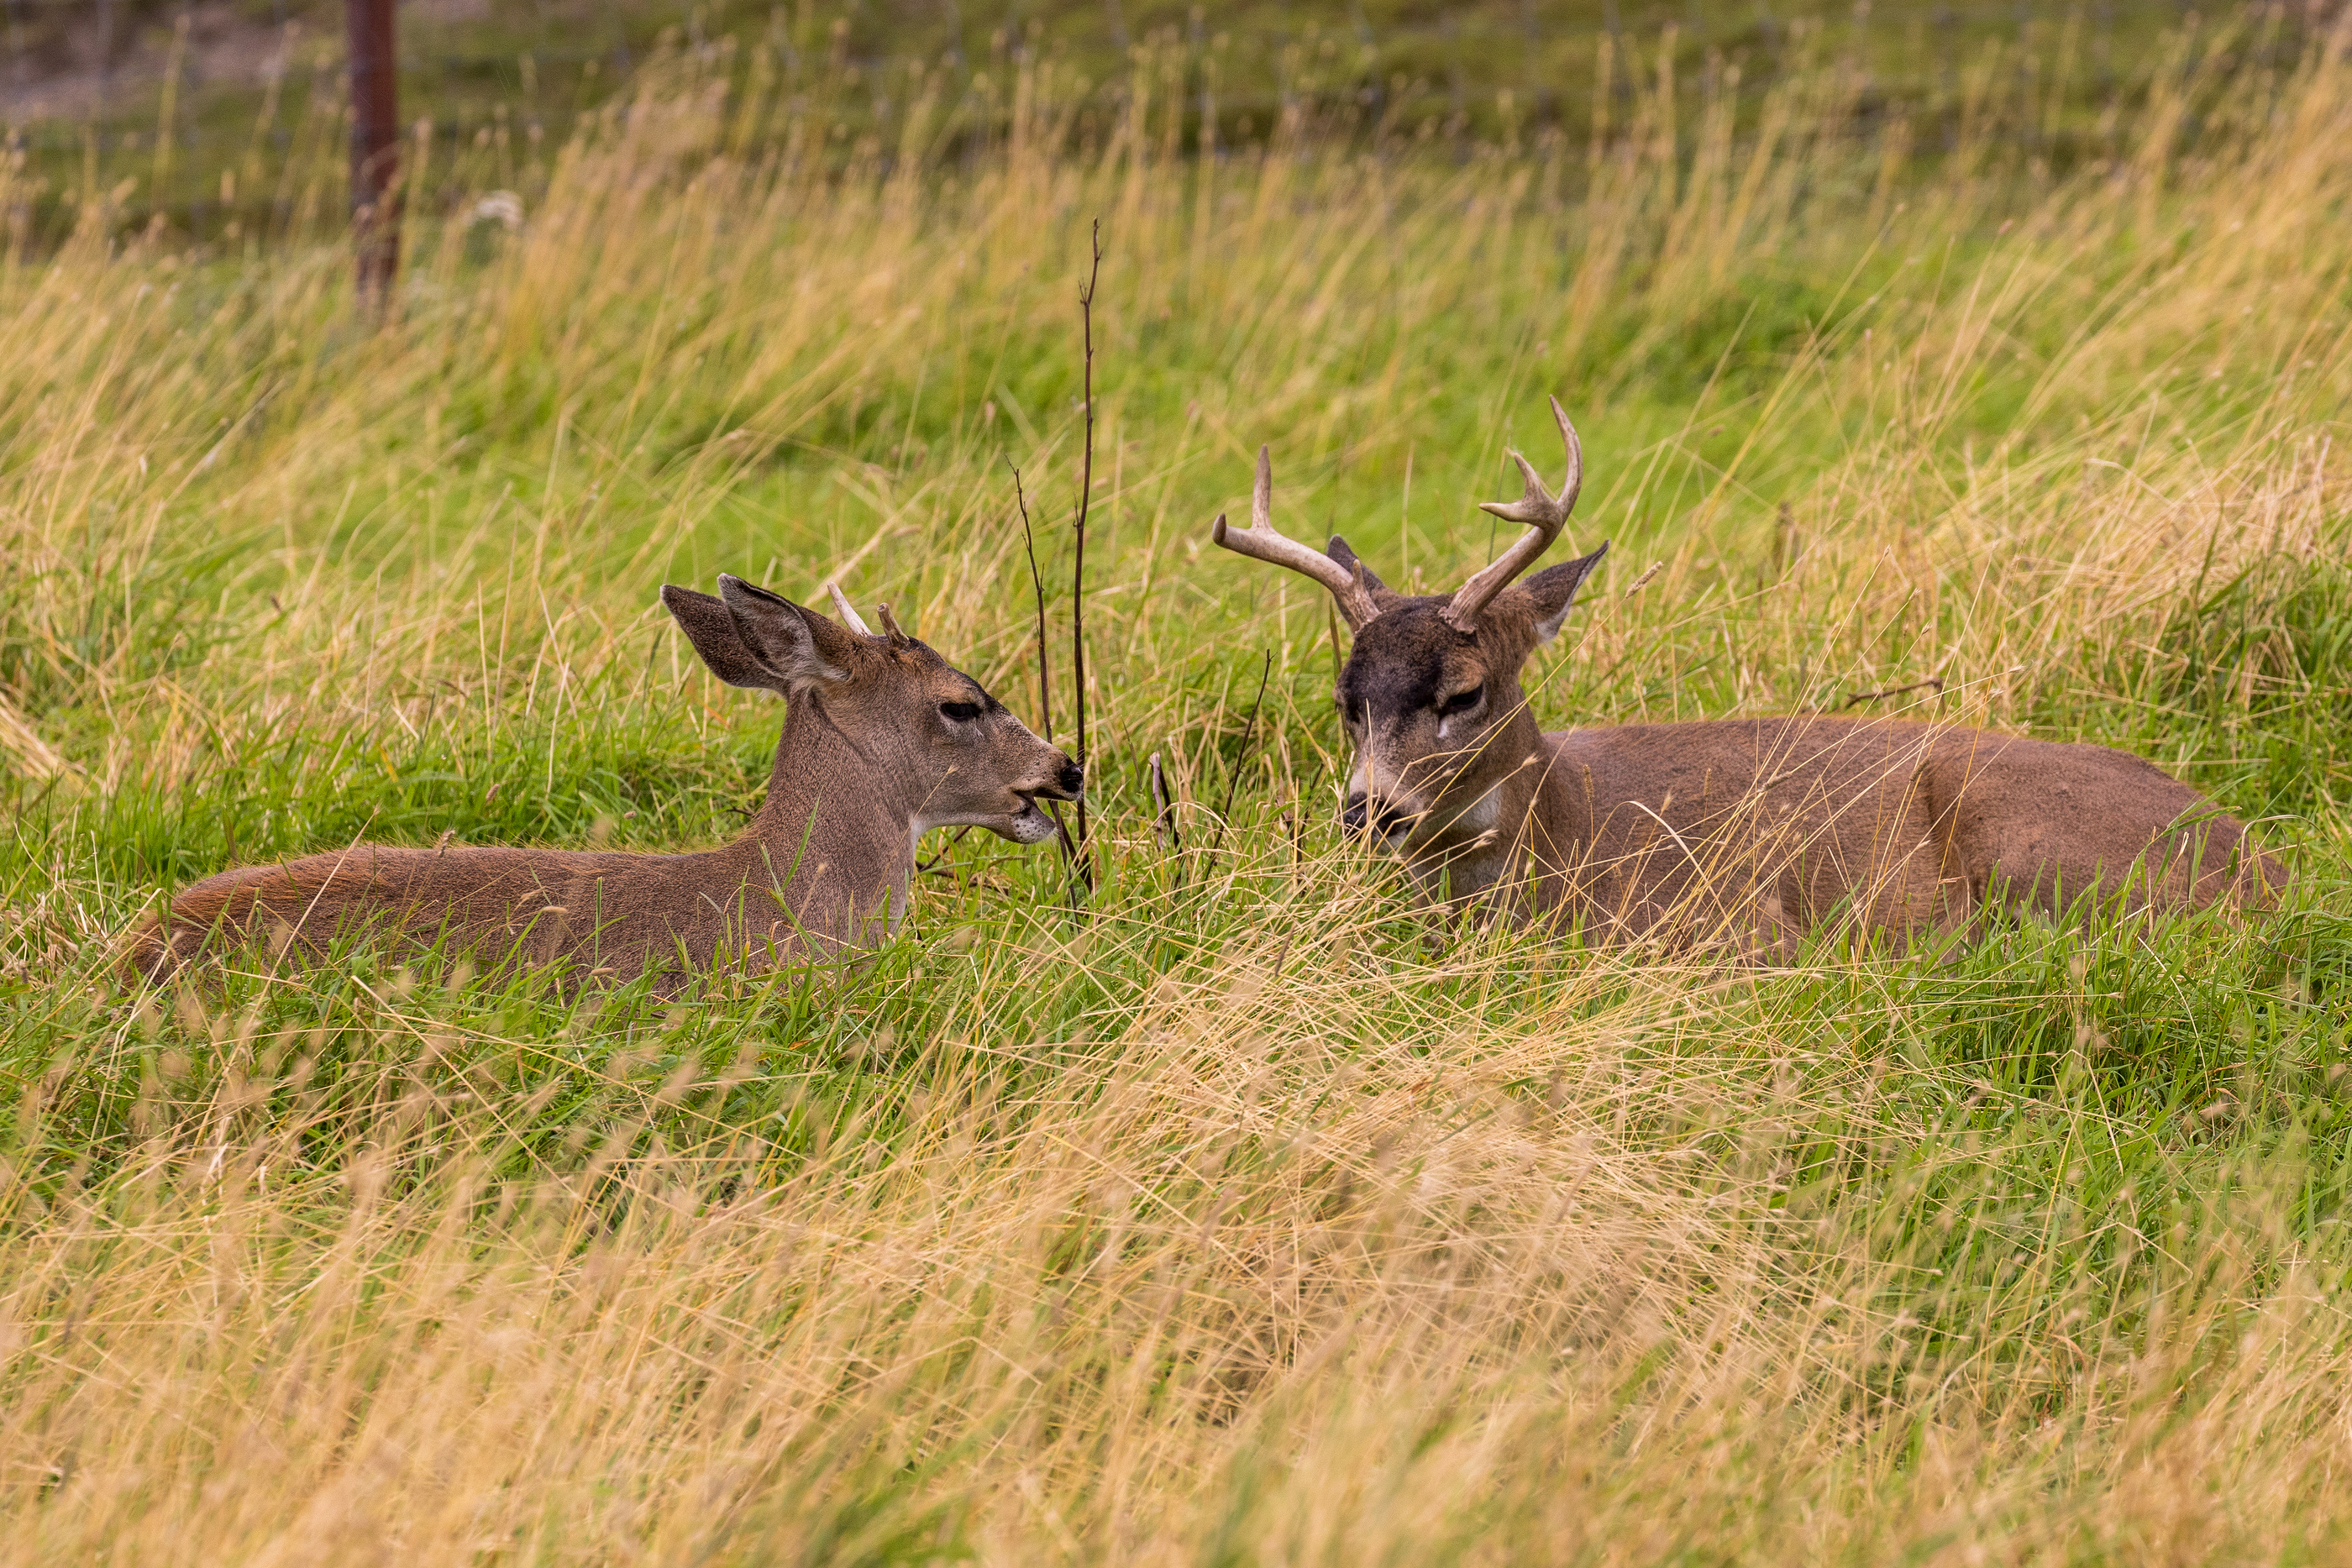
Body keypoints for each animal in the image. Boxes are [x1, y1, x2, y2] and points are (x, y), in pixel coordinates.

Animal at [1213, 399, 2276, 949]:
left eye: (1463, 692)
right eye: (1346, 703)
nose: (1369, 811)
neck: (1563, 833)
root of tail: (2260, 864)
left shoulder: (1729, 924)